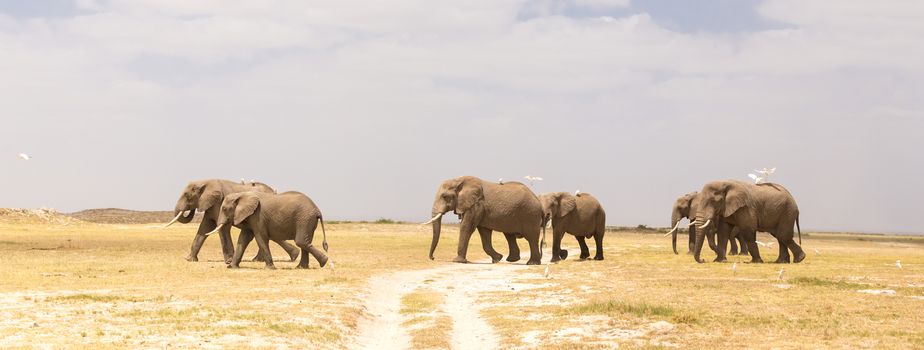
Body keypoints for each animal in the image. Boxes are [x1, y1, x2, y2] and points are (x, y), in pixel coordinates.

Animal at [162, 179, 300, 264]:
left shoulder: (219, 203)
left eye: (187, 195)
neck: (205, 182)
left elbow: (222, 227)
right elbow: (205, 228)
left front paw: (228, 261)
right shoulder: (211, 205)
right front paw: (189, 259)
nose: (190, 209)